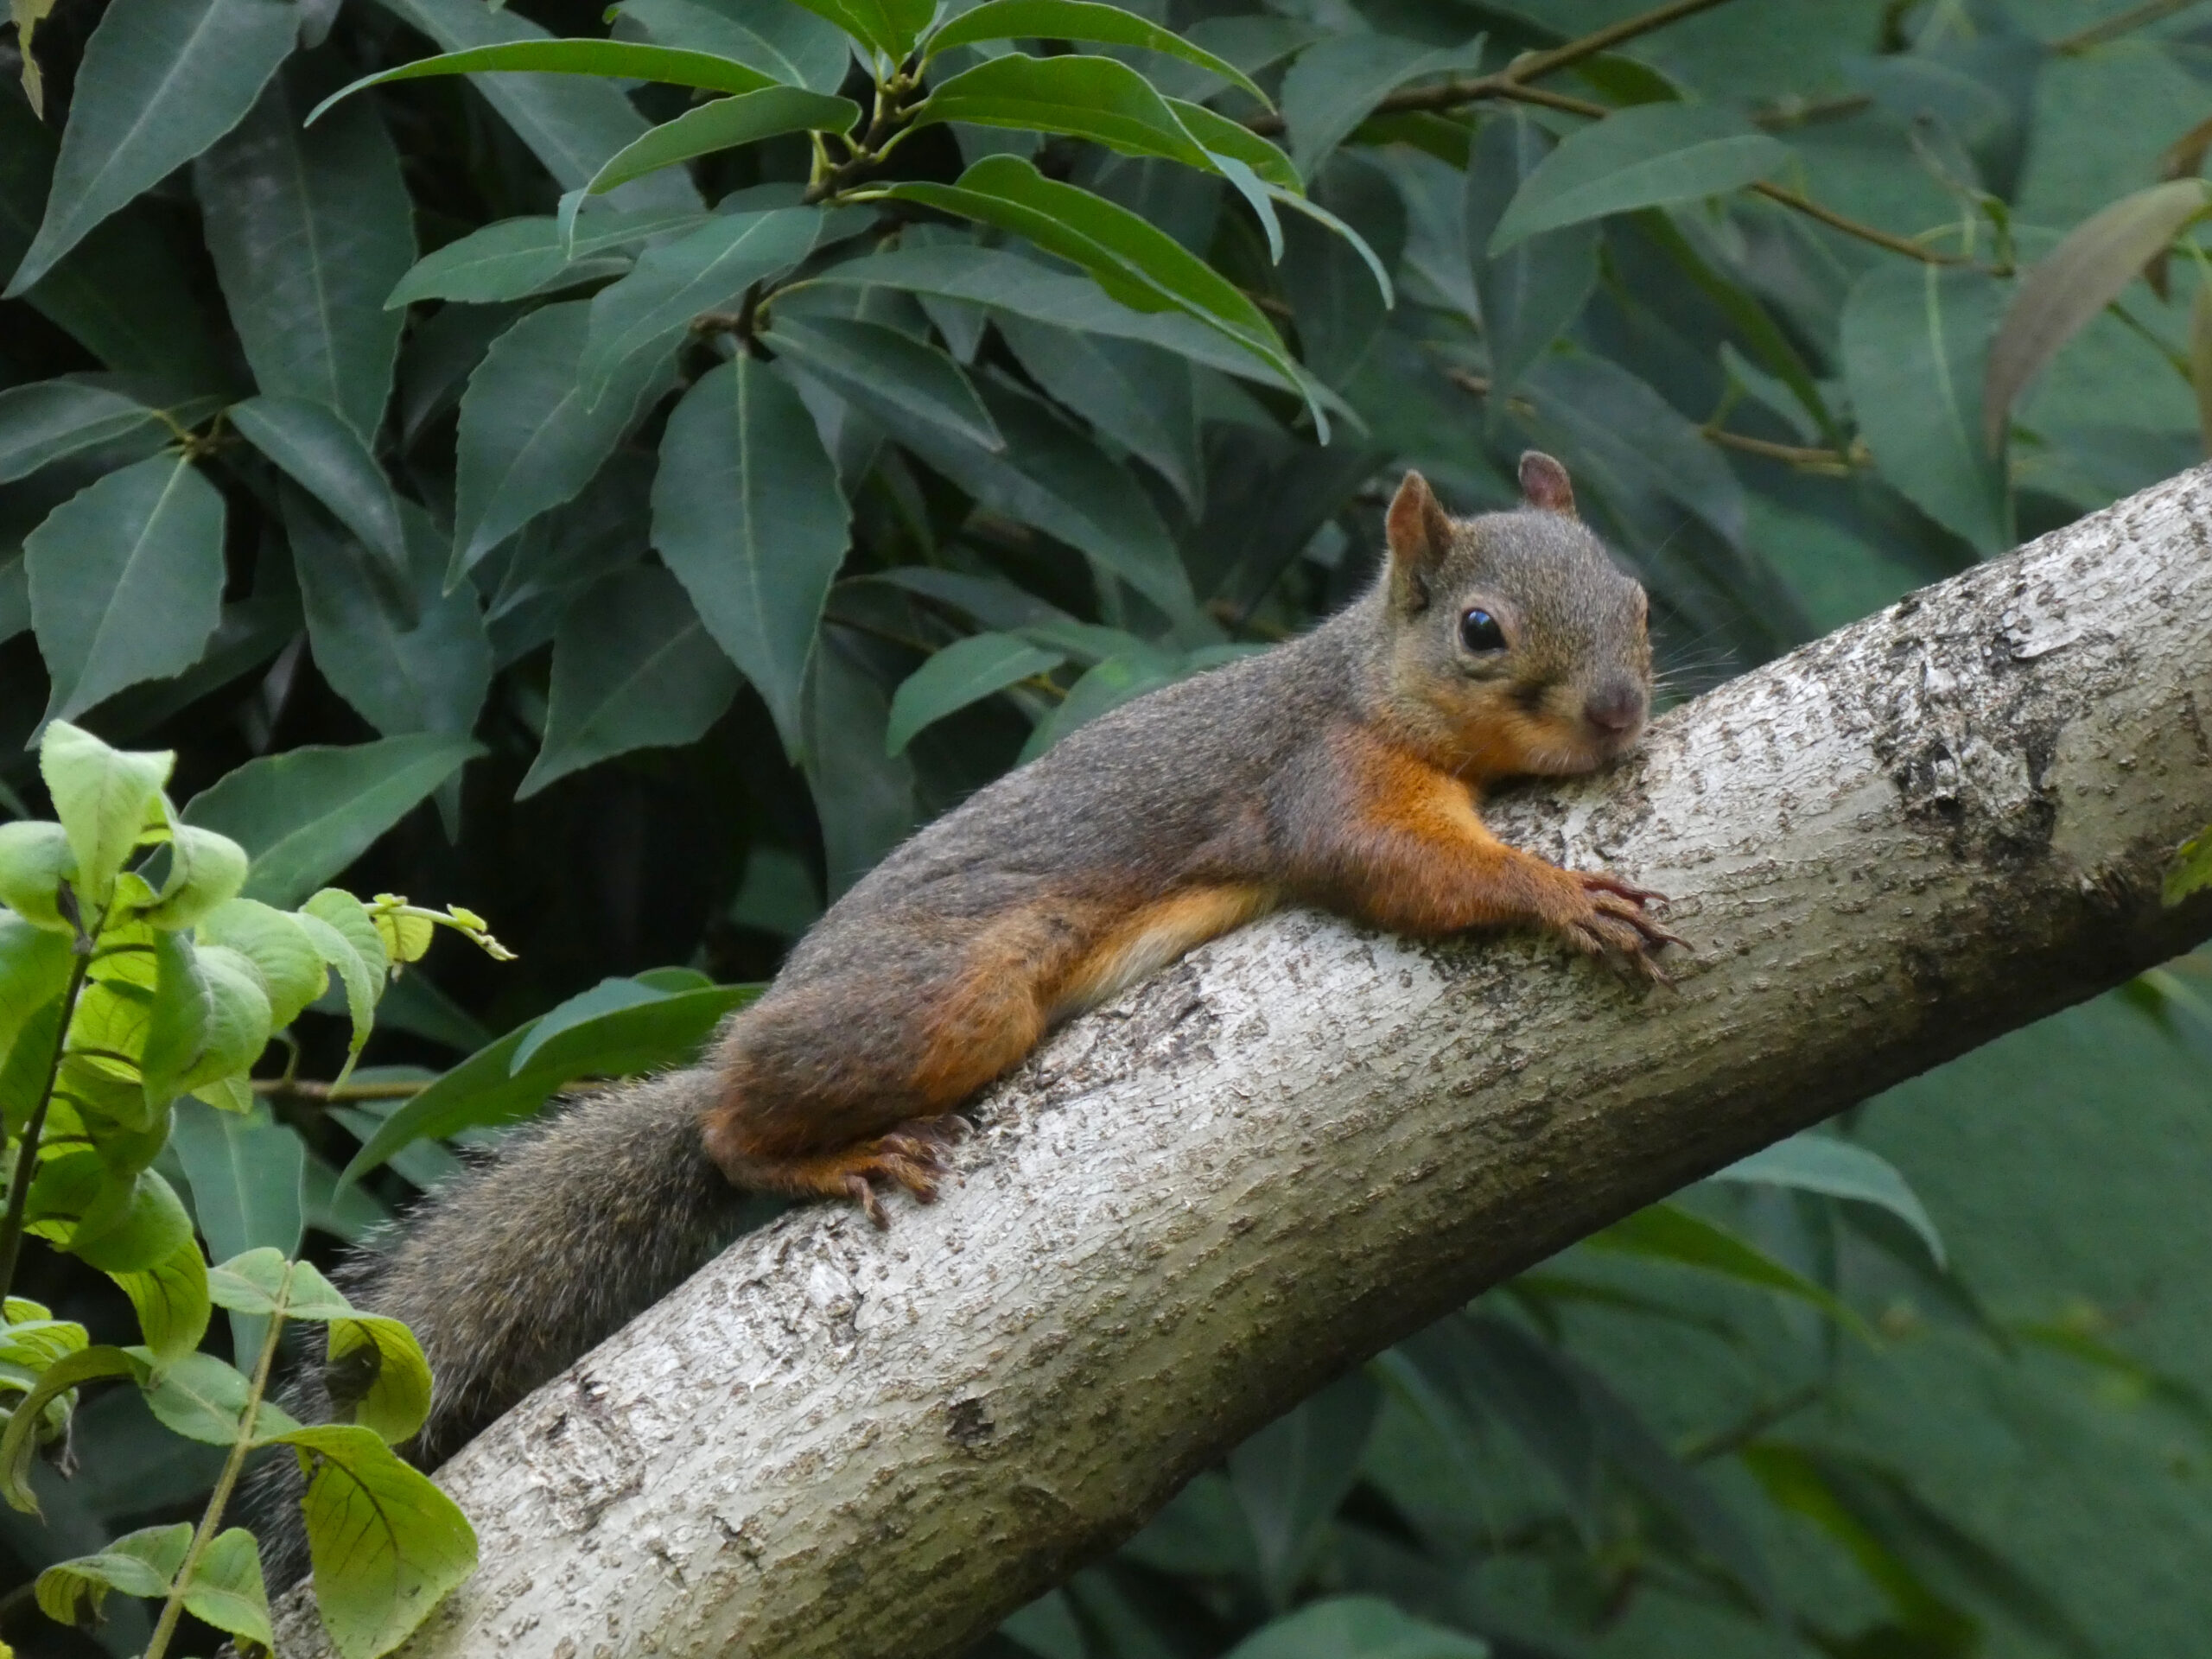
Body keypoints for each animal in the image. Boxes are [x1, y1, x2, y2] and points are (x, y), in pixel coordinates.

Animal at [252, 453, 1678, 1582]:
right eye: (1482, 631)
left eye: (1640, 599)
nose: (1619, 712)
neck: (1366, 680)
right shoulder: (1323, 777)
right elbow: (1403, 867)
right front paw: (1556, 894)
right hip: (959, 1000)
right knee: (731, 1128)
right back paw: (817, 1153)